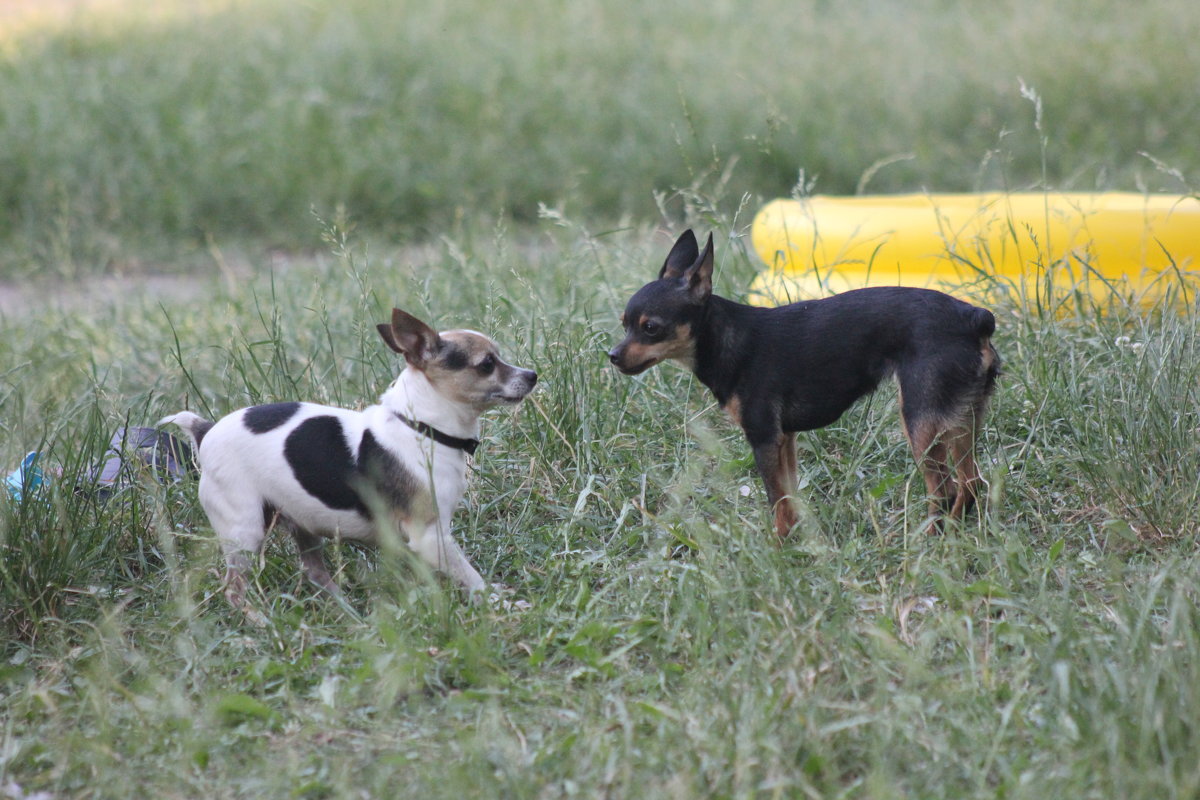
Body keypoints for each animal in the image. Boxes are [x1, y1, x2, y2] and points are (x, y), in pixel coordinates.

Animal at [159, 309, 535, 614]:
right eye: (487, 364)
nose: (532, 374)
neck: (422, 428)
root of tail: (206, 431)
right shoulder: (431, 536)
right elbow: (472, 577)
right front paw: (501, 603)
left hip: (301, 522)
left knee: (314, 572)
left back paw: (349, 611)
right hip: (245, 530)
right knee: (234, 589)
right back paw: (261, 623)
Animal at [609, 227, 1003, 534]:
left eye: (650, 328)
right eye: (624, 324)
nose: (612, 355)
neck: (726, 338)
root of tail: (974, 317)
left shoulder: (765, 439)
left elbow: (777, 502)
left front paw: (778, 549)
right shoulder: (786, 441)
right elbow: (791, 497)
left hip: (921, 419)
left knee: (945, 490)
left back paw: (928, 541)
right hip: (961, 417)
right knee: (970, 483)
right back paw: (954, 533)